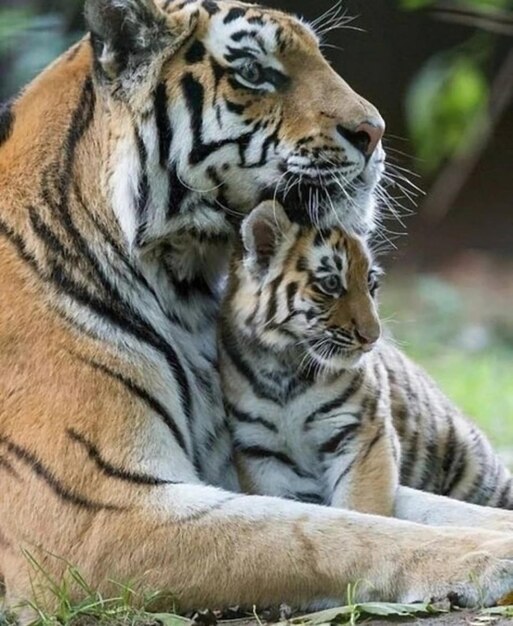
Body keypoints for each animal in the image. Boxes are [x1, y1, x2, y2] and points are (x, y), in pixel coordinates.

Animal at [0, 0, 512, 616]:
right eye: (253, 72)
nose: (375, 132)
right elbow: (323, 533)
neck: (183, 284)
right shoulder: (94, 515)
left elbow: (407, 506)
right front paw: (489, 556)